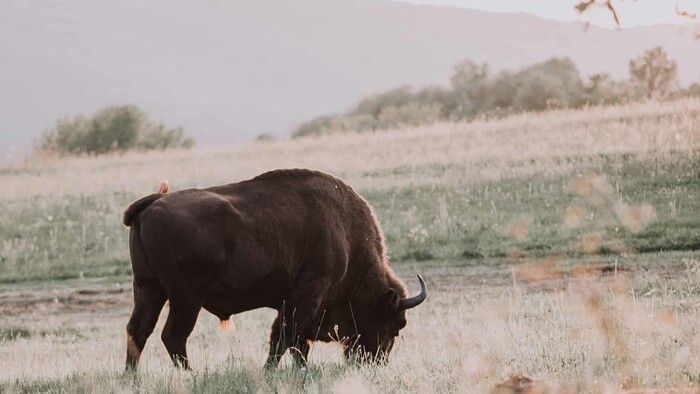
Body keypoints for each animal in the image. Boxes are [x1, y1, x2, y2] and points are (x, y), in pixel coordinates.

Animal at [122, 169, 424, 370]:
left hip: (149, 288)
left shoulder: (290, 303)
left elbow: (292, 342)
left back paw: (132, 378)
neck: (346, 238)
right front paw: (274, 373)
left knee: (139, 331)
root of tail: (153, 202)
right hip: (186, 298)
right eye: (397, 323)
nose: (377, 362)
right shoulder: (306, 297)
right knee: (173, 336)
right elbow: (285, 339)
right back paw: (190, 375)